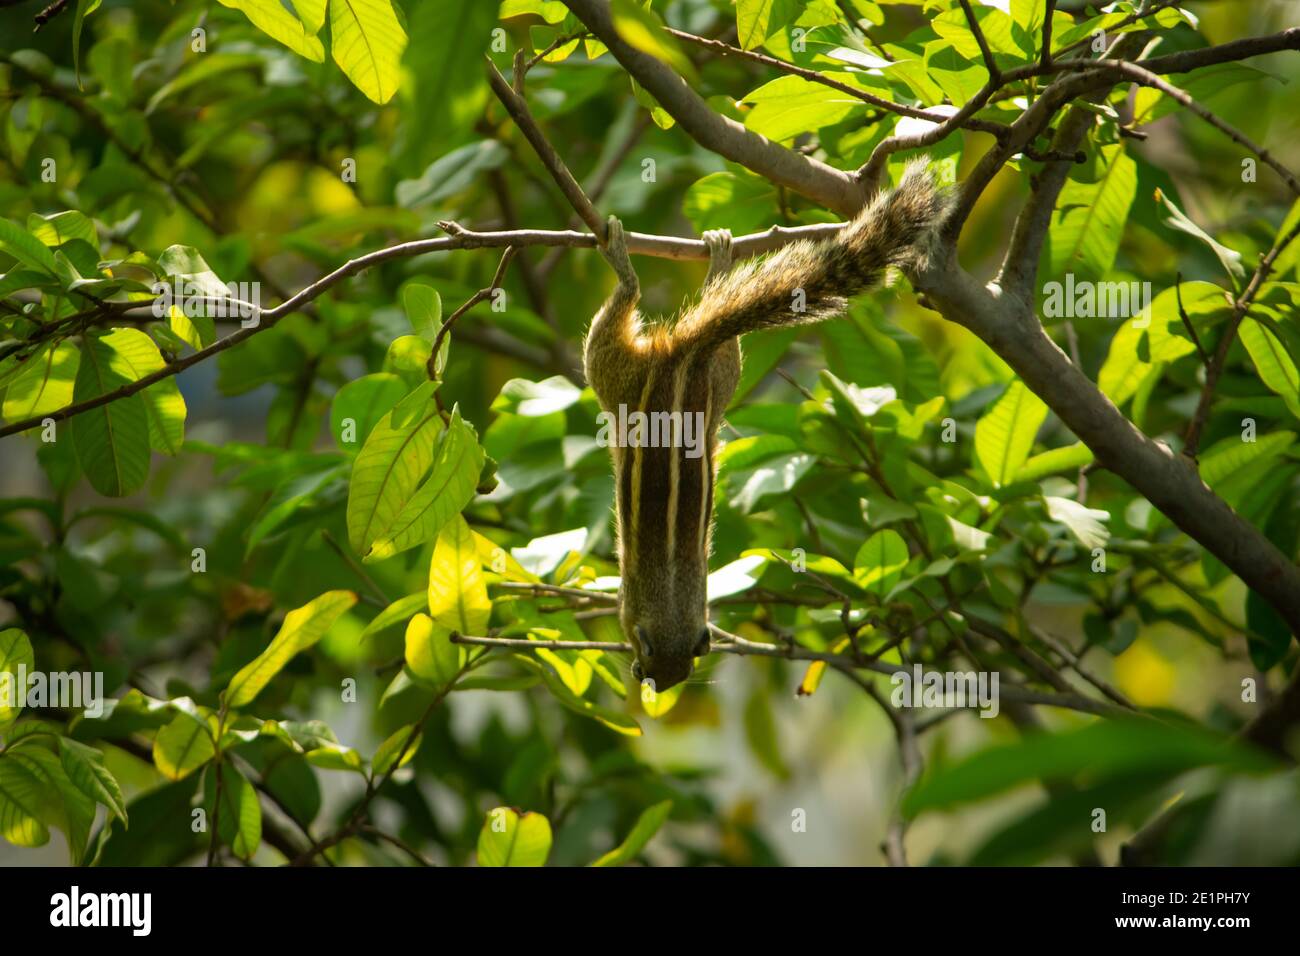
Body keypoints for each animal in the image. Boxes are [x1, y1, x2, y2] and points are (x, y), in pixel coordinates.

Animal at [584, 161, 949, 692]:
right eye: (644, 663)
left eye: (671, 666)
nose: (652, 683)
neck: (670, 592)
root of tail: (686, 352)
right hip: (638, 376)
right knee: (625, 313)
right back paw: (642, 258)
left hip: (688, 378)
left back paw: (704, 262)